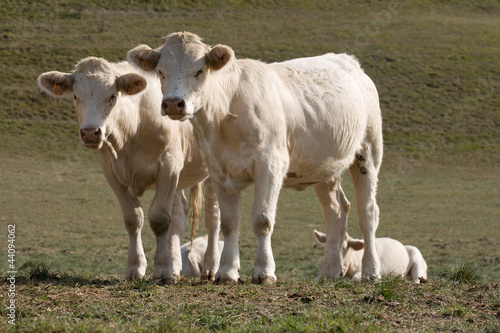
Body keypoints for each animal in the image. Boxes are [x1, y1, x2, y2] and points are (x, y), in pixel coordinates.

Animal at [36, 57, 221, 282]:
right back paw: (176, 265)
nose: (90, 132)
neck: (131, 130)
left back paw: (211, 267)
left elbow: (160, 218)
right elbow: (134, 219)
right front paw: (136, 267)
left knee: (213, 217)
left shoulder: (167, 167)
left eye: (112, 96)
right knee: (179, 215)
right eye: (75, 96)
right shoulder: (112, 173)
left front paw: (162, 269)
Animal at [128, 31, 382, 282]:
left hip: (368, 151)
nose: (173, 104)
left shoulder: (270, 165)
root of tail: (348, 60)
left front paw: (264, 271)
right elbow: (229, 224)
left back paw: (371, 271)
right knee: (336, 212)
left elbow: (262, 219)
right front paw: (227, 271)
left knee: (368, 211)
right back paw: (330, 271)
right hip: (324, 168)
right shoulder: (219, 171)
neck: (227, 112)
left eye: (199, 70)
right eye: (161, 72)